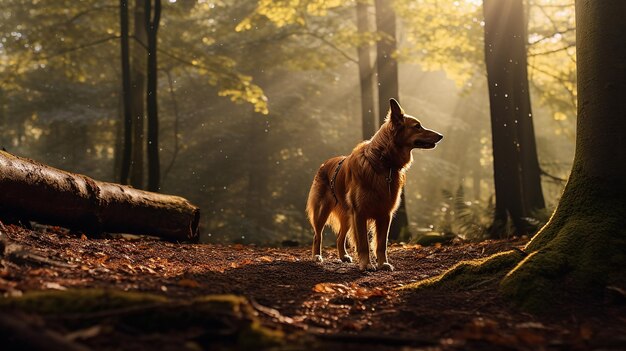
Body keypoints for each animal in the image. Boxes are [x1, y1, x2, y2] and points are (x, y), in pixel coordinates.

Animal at [304, 99, 442, 272]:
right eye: (417, 126)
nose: (441, 136)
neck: (382, 163)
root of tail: (325, 163)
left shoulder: (385, 214)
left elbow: (381, 244)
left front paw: (383, 263)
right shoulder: (360, 213)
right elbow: (363, 243)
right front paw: (367, 264)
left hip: (347, 215)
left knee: (340, 237)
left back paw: (343, 256)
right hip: (323, 210)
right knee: (318, 235)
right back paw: (317, 256)